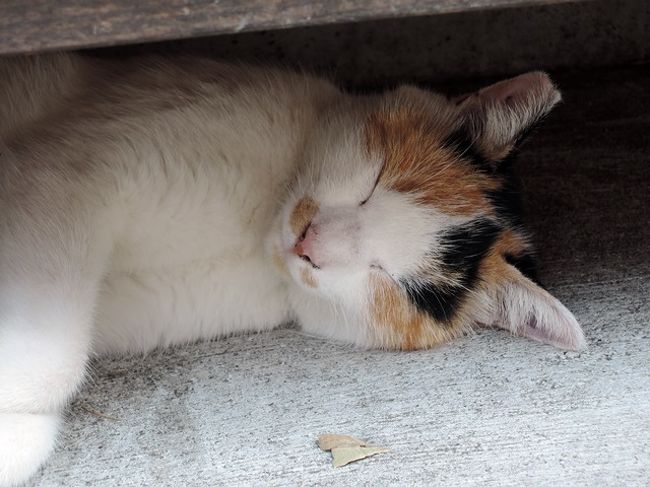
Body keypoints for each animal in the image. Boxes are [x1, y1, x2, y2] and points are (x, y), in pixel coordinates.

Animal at [0, 51, 584, 486]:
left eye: (392, 281)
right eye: (375, 181)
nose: (309, 243)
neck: (256, 232)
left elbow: (53, 364)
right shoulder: (71, 169)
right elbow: (56, 363)